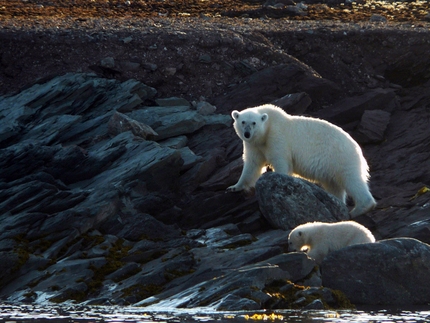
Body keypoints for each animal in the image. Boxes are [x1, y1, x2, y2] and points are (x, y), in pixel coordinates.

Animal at [228, 104, 376, 216]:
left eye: (254, 123)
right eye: (243, 122)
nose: (247, 134)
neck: (268, 126)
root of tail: (357, 148)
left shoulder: (277, 138)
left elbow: (281, 161)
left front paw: (277, 180)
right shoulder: (254, 145)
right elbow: (252, 165)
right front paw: (234, 187)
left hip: (341, 157)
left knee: (352, 180)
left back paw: (358, 209)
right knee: (334, 185)